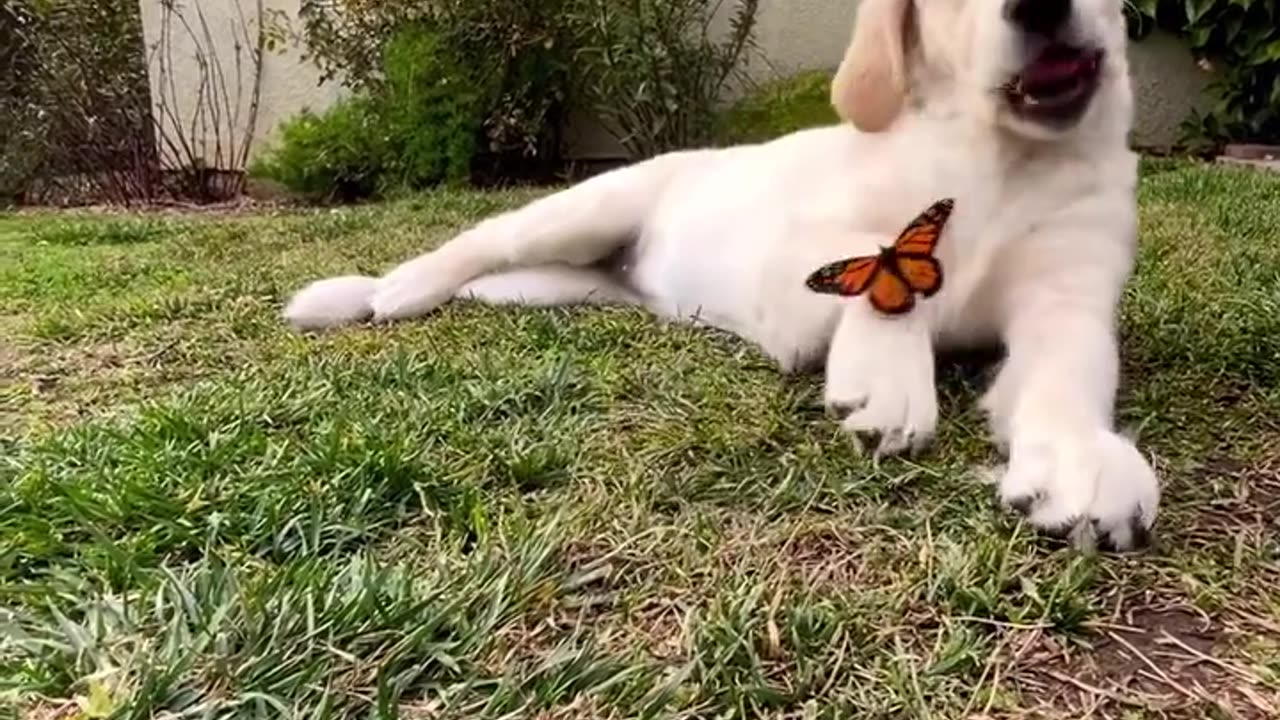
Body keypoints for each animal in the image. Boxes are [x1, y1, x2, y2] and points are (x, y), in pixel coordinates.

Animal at [288, 0, 1162, 548]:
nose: (1038, 3)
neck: (999, 158)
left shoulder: (1069, 297)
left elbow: (1068, 374)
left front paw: (1077, 457)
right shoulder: (792, 276)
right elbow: (888, 262)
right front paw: (885, 378)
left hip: (579, 279)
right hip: (588, 204)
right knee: (478, 242)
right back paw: (377, 292)